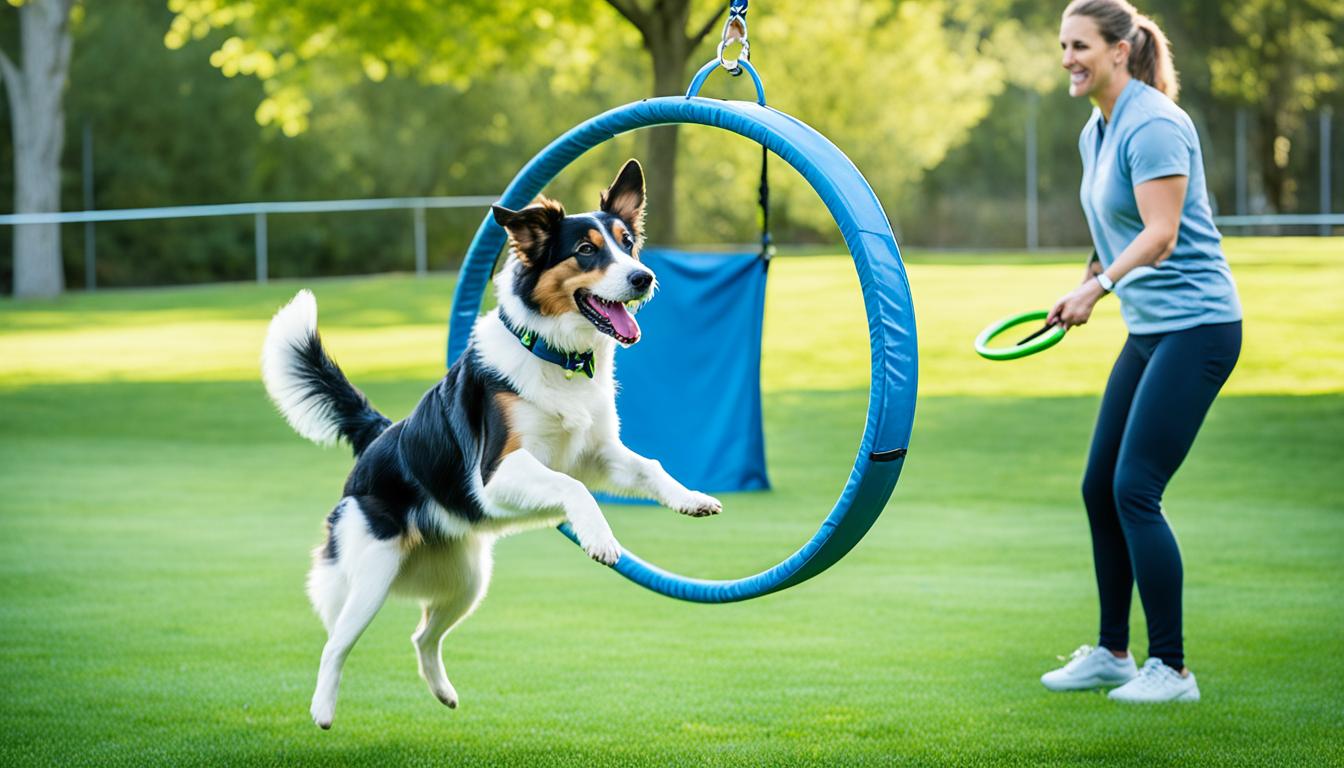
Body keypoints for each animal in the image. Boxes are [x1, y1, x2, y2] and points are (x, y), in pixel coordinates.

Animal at [262, 159, 725, 731]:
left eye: (628, 244)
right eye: (586, 250)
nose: (644, 277)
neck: (556, 354)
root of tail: (379, 436)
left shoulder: (599, 455)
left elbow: (649, 467)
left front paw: (691, 499)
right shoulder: (496, 473)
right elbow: (573, 489)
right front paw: (600, 540)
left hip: (467, 579)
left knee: (423, 635)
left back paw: (444, 694)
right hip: (370, 576)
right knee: (335, 643)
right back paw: (323, 710)